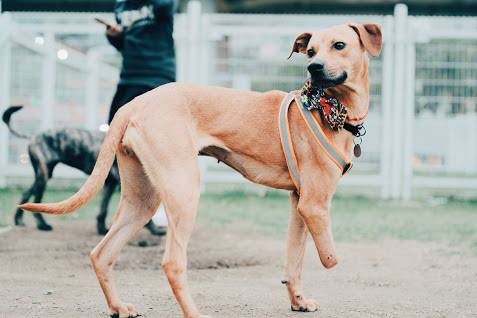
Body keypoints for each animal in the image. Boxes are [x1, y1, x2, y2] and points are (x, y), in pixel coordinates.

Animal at [2, 105, 164, 235]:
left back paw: (19, 220)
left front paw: (101, 229)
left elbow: (102, 210)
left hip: (43, 175)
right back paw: (42, 225)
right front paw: (154, 230)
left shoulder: (109, 185)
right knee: (37, 200)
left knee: (26, 194)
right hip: (43, 176)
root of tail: (33, 136)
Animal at [20, 23, 382, 318]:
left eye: (338, 45)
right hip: (184, 192)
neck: (330, 109)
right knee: (172, 263)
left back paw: (118, 307)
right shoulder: (314, 205)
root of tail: (134, 104)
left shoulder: (298, 204)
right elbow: (329, 257)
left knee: (101, 253)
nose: (313, 68)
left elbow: (293, 260)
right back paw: (192, 312)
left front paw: (298, 301)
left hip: (141, 201)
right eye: (310, 51)